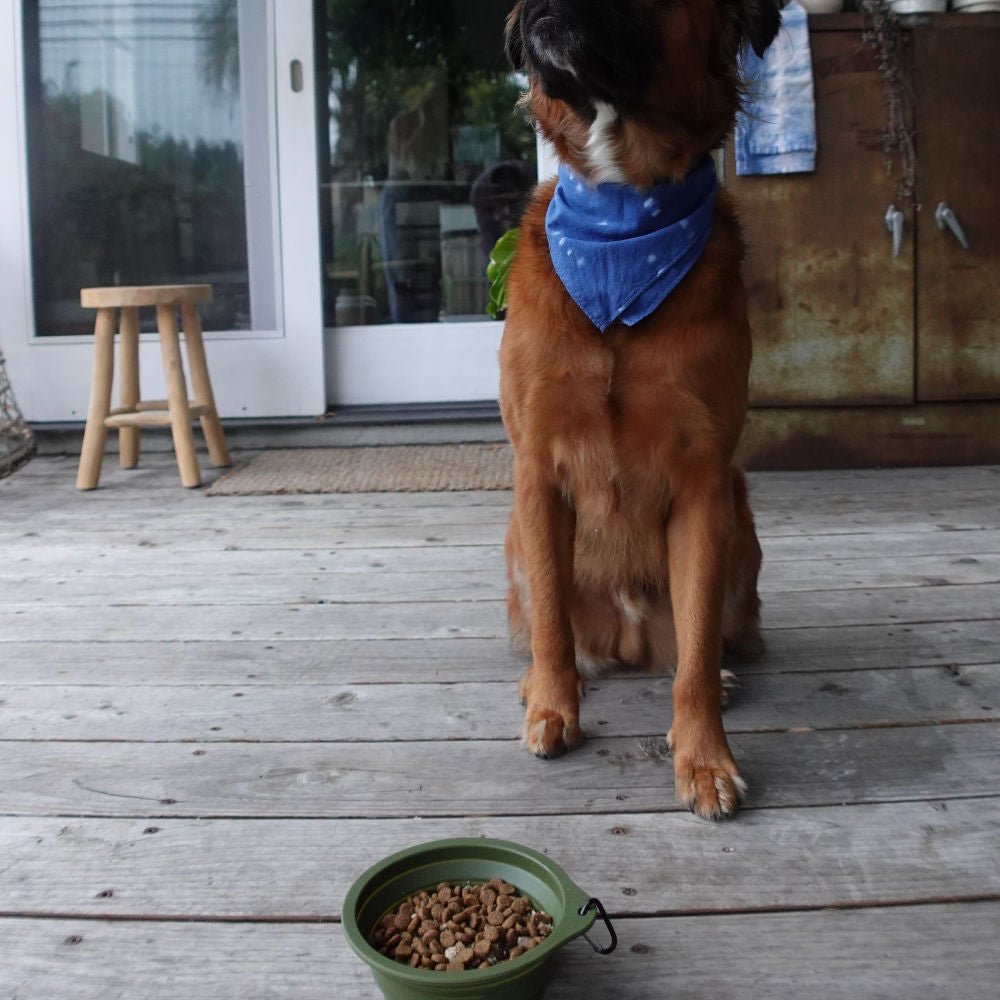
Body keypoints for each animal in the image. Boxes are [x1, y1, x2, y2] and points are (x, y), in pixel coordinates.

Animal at [500, 0, 782, 819]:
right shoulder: (536, 470)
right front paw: (553, 707)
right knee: (560, 631)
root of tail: (627, 637)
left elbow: (693, 656)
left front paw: (705, 757)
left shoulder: (704, 484)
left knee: (702, 643)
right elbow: (553, 624)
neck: (624, 219)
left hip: (742, 525)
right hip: (516, 541)